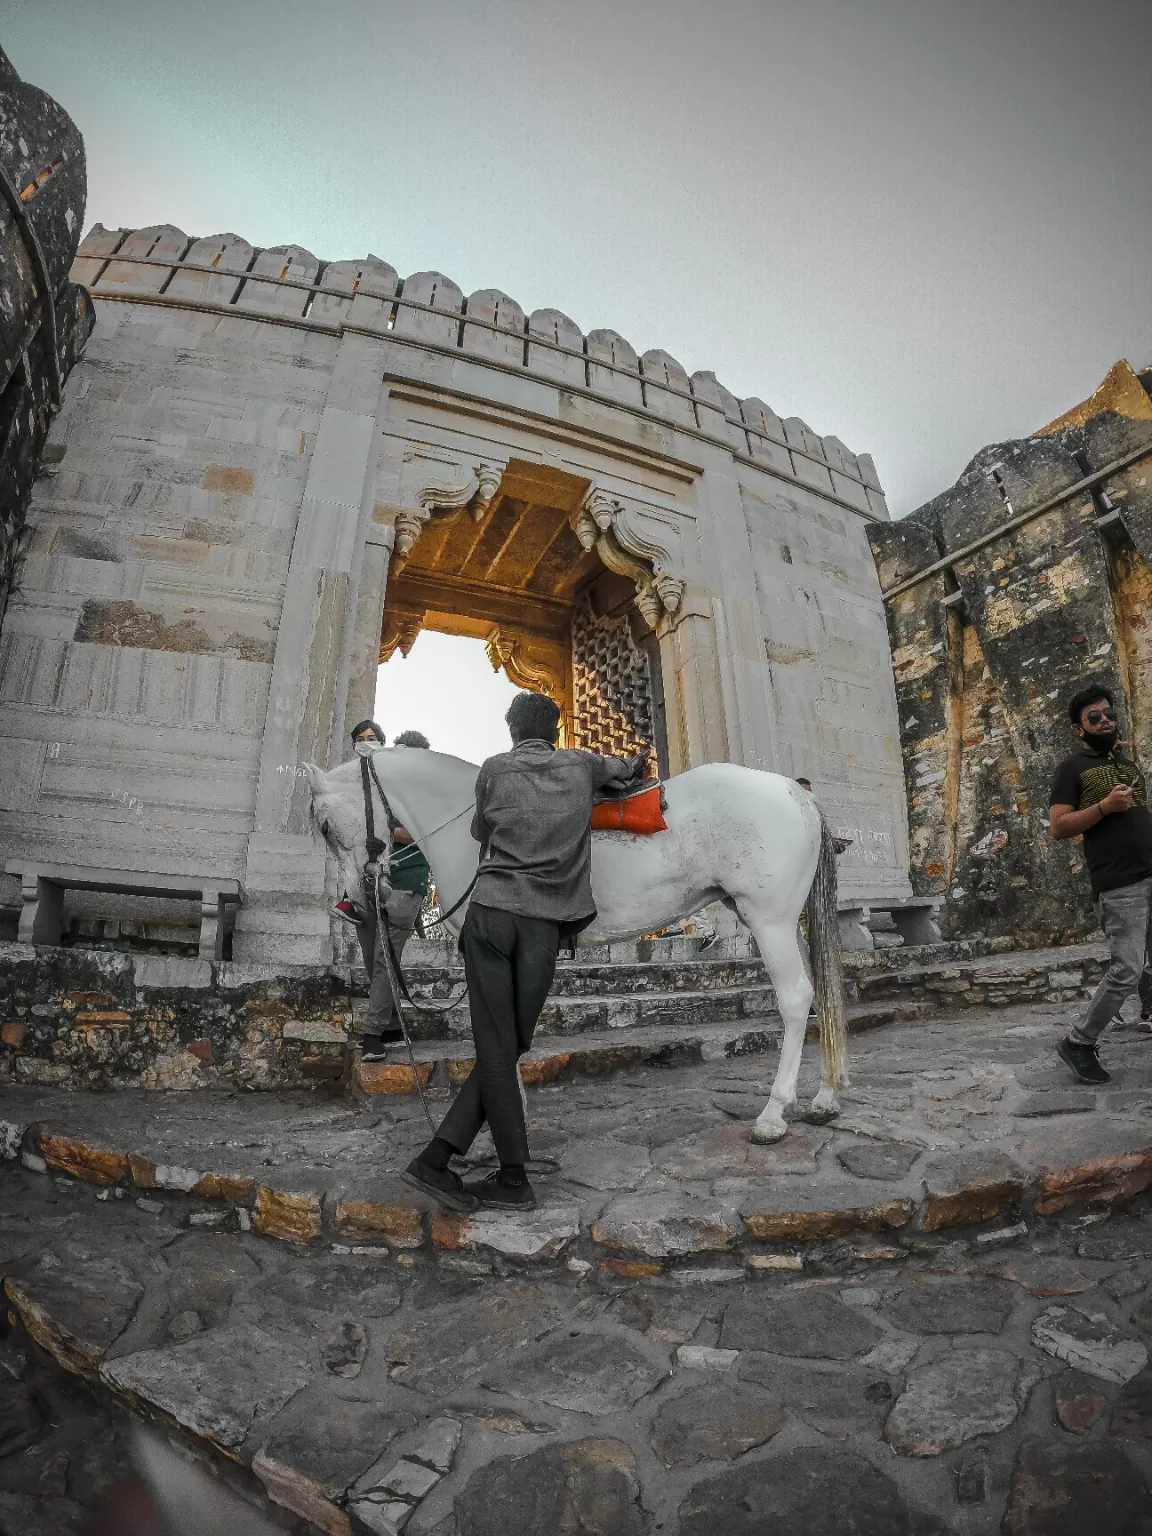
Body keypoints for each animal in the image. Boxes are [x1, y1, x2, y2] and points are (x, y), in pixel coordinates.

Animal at [307, 746, 847, 1142]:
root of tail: (793, 792)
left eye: (327, 826)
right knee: (821, 992)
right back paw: (825, 1097)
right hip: (786, 922)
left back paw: (774, 1114)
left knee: (796, 999)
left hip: (769, 920)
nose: (355, 903)